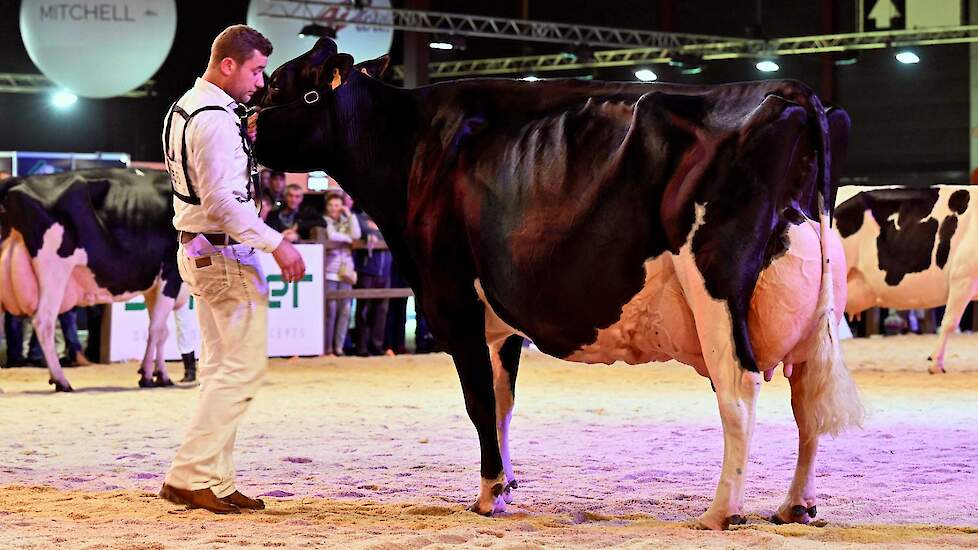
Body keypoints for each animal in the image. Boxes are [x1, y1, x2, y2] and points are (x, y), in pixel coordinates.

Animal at [0, 168, 186, 392]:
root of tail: (16, 181)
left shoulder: (153, 284)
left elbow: (162, 330)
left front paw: (159, 374)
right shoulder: (170, 273)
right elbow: (157, 329)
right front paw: (149, 376)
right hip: (55, 270)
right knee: (44, 321)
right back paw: (61, 380)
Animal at [254, 38, 860, 532]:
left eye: (281, 84)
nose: (246, 124)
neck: (412, 146)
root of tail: (791, 91)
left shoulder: (453, 302)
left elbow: (478, 401)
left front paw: (487, 496)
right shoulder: (499, 321)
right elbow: (503, 402)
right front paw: (506, 486)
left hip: (713, 285)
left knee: (739, 389)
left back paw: (720, 511)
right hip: (817, 309)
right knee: (806, 399)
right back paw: (795, 506)